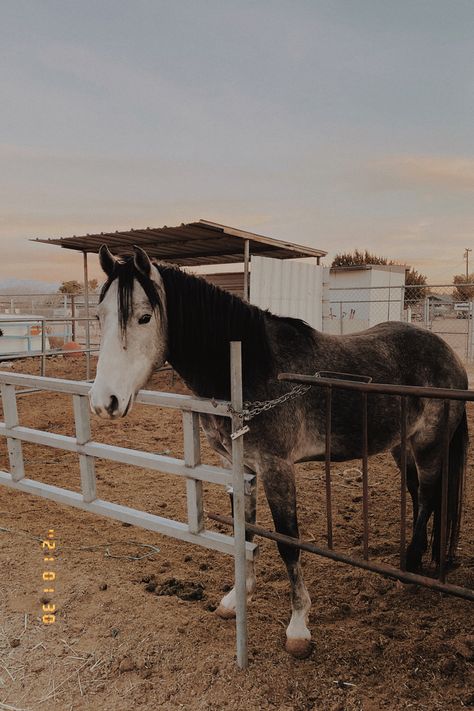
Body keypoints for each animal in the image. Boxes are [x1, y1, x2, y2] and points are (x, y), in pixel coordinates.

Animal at [89, 246, 466, 660]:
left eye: (144, 317)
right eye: (99, 317)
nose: (104, 401)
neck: (246, 370)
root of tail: (449, 355)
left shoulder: (277, 468)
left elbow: (288, 542)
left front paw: (299, 626)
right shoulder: (239, 467)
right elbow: (245, 532)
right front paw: (237, 598)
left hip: (429, 444)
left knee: (429, 495)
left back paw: (412, 565)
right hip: (401, 445)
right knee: (419, 495)